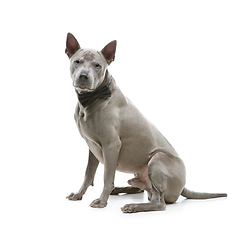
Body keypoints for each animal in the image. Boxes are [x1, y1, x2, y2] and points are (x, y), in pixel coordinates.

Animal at [64, 32, 226, 213]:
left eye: (97, 65)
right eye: (77, 61)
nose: (83, 76)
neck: (90, 99)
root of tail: (183, 186)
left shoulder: (111, 145)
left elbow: (107, 176)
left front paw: (102, 201)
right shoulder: (92, 147)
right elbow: (88, 174)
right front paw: (78, 194)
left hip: (157, 159)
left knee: (159, 202)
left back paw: (132, 206)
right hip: (138, 173)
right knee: (141, 188)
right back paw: (120, 190)